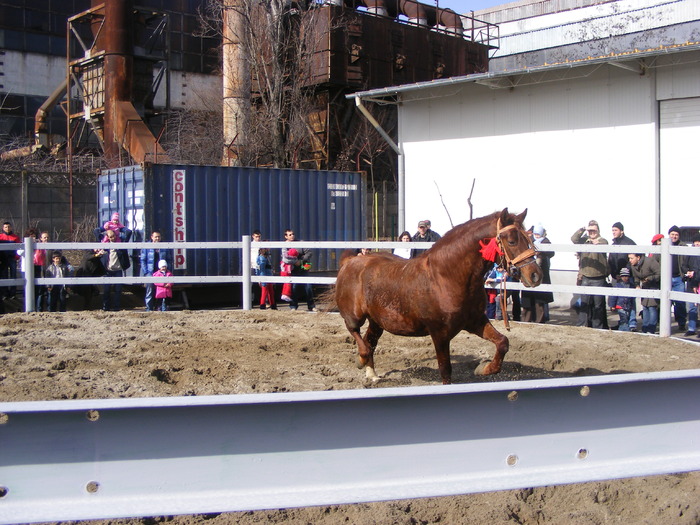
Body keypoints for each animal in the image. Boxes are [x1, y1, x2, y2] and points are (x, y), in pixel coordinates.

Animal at [336, 207, 544, 382]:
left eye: (530, 240)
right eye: (512, 241)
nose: (535, 275)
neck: (446, 277)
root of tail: (350, 261)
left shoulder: (475, 321)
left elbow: (503, 342)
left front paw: (484, 369)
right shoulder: (439, 333)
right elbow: (446, 371)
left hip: (377, 321)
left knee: (370, 340)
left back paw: (372, 374)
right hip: (356, 316)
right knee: (355, 332)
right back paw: (362, 359)